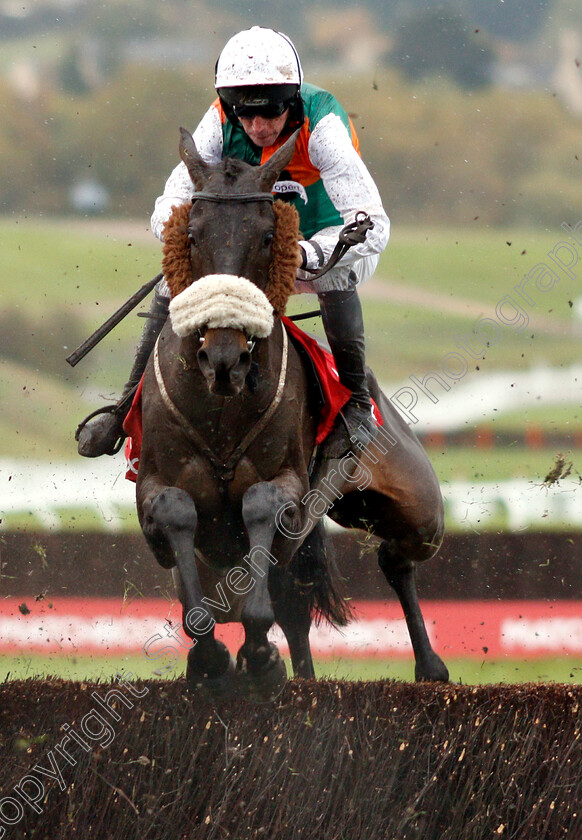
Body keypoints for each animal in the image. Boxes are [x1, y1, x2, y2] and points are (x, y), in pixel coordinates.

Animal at [135, 128, 450, 700]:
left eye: (266, 236)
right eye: (191, 233)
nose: (224, 358)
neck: (221, 408)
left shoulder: (288, 484)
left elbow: (262, 506)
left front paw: (259, 657)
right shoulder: (156, 487)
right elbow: (175, 515)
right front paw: (212, 657)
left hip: (417, 505)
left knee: (395, 557)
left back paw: (430, 666)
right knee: (295, 604)